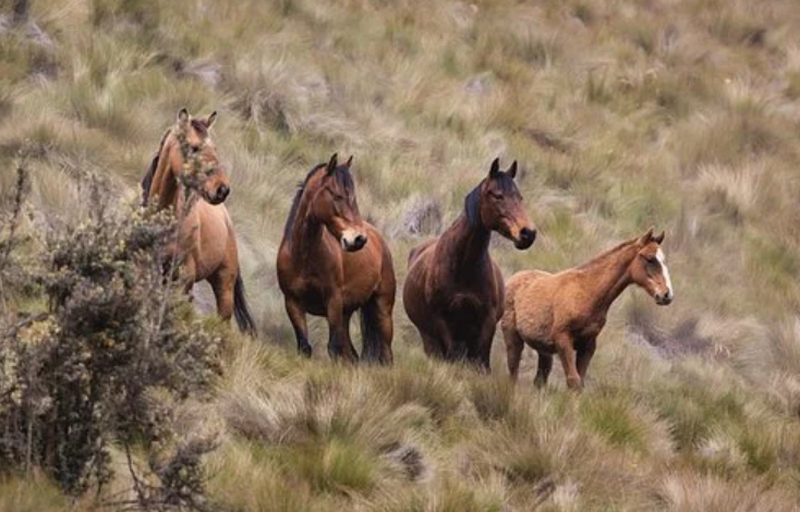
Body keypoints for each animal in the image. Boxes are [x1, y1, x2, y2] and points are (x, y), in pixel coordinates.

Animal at [276, 152, 398, 364]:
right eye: (337, 195)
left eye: (353, 197)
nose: (358, 239)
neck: (303, 256)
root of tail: (379, 239)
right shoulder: (293, 303)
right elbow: (305, 347)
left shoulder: (332, 302)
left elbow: (333, 349)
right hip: (346, 314)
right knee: (352, 355)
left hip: (383, 311)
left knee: (386, 354)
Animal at [400, 158, 536, 370]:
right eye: (498, 195)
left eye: (519, 197)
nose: (528, 233)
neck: (463, 267)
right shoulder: (441, 321)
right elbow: (452, 356)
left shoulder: (487, 322)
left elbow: (481, 362)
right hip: (429, 337)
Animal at [504, 226, 672, 390]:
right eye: (650, 259)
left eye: (664, 260)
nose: (667, 295)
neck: (588, 292)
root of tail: (513, 279)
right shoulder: (562, 339)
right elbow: (574, 381)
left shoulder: (588, 345)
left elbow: (580, 382)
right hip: (513, 338)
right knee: (513, 374)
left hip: (544, 349)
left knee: (539, 381)